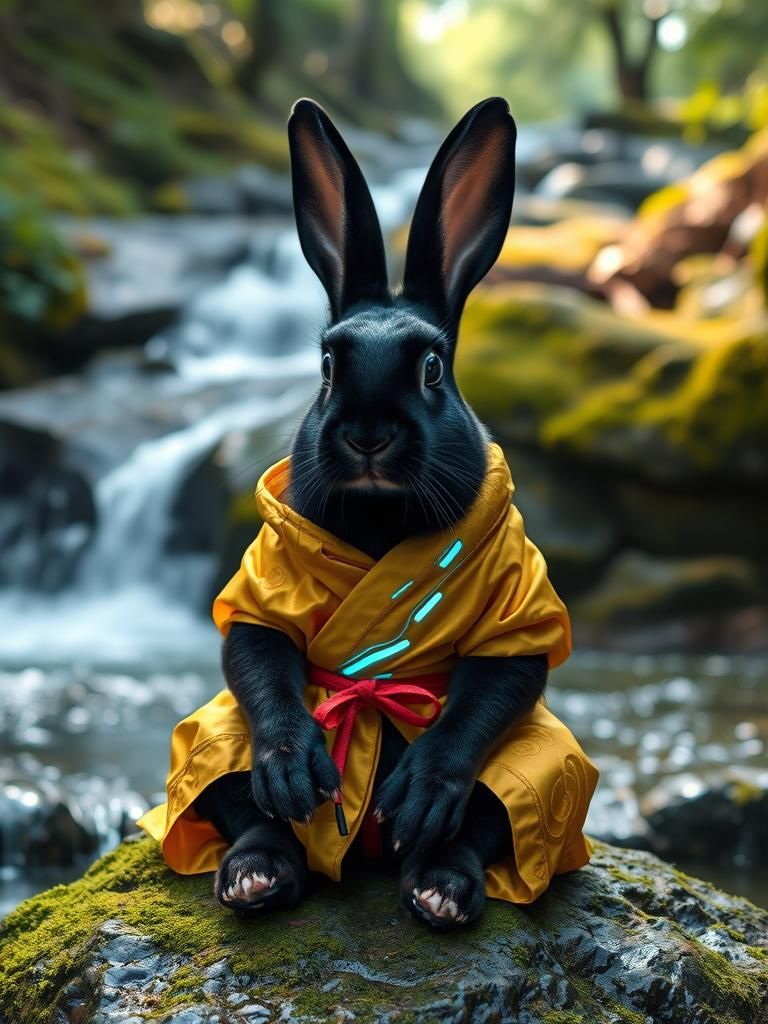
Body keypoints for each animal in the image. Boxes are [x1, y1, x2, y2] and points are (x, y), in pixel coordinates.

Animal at [193, 96, 552, 929]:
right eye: (328, 364)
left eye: (432, 367)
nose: (366, 434)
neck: (380, 521)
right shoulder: (258, 598)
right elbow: (260, 664)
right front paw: (293, 772)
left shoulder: (519, 626)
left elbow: (485, 699)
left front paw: (419, 796)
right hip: (212, 739)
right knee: (240, 801)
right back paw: (255, 877)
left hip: (542, 765)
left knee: (492, 815)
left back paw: (439, 889)